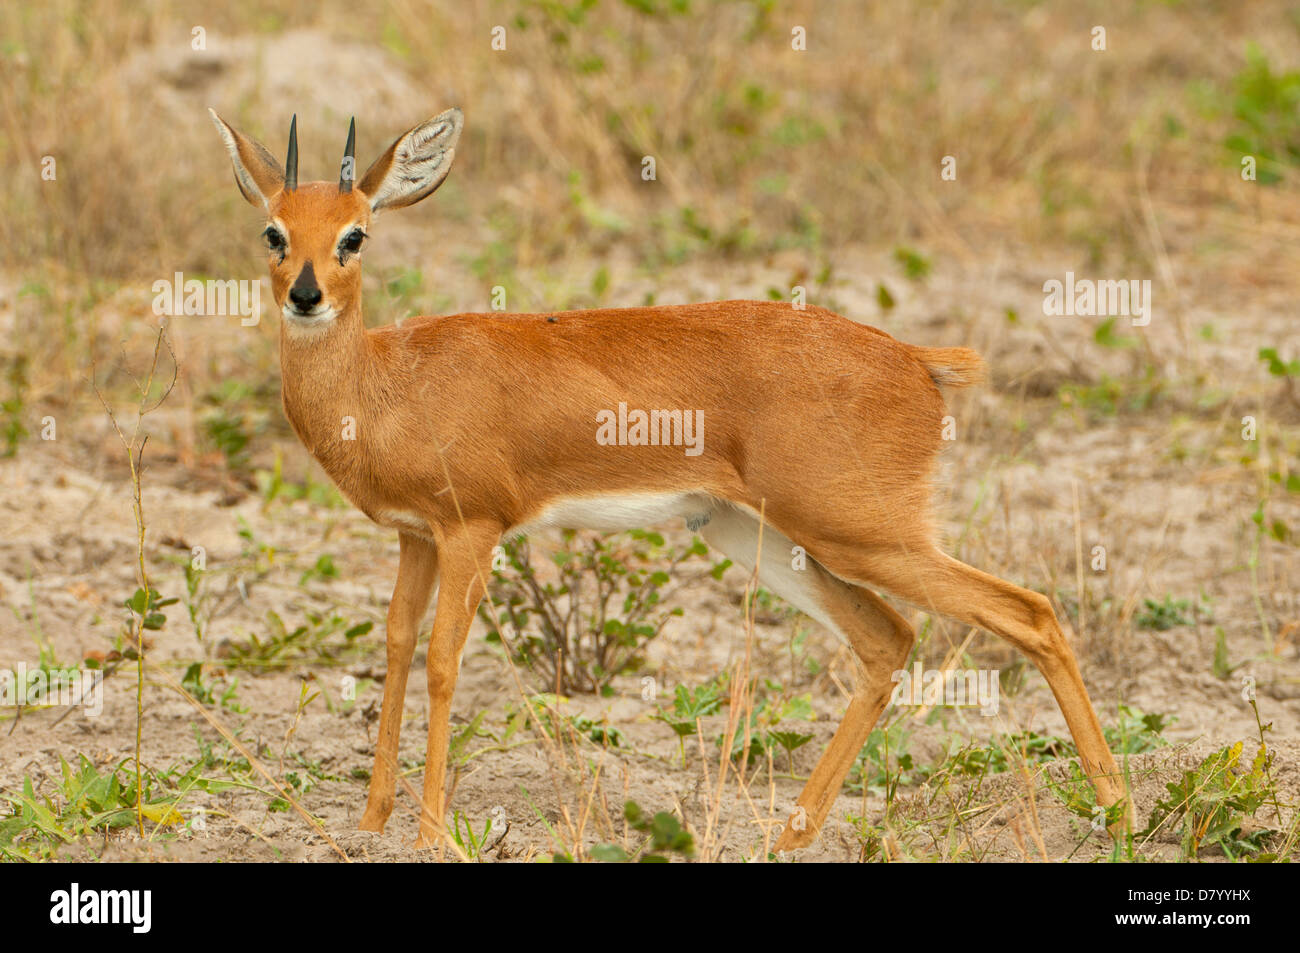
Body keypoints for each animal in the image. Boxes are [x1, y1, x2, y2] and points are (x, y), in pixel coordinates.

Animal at [208, 107, 1123, 852]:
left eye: (356, 233)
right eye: (273, 230)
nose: (305, 295)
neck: (389, 381)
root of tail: (917, 360)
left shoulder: (472, 530)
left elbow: (441, 660)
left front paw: (432, 831)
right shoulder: (414, 536)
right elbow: (396, 648)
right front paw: (370, 822)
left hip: (860, 532)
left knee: (1029, 611)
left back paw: (1121, 811)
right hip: (762, 536)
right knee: (887, 638)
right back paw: (790, 836)